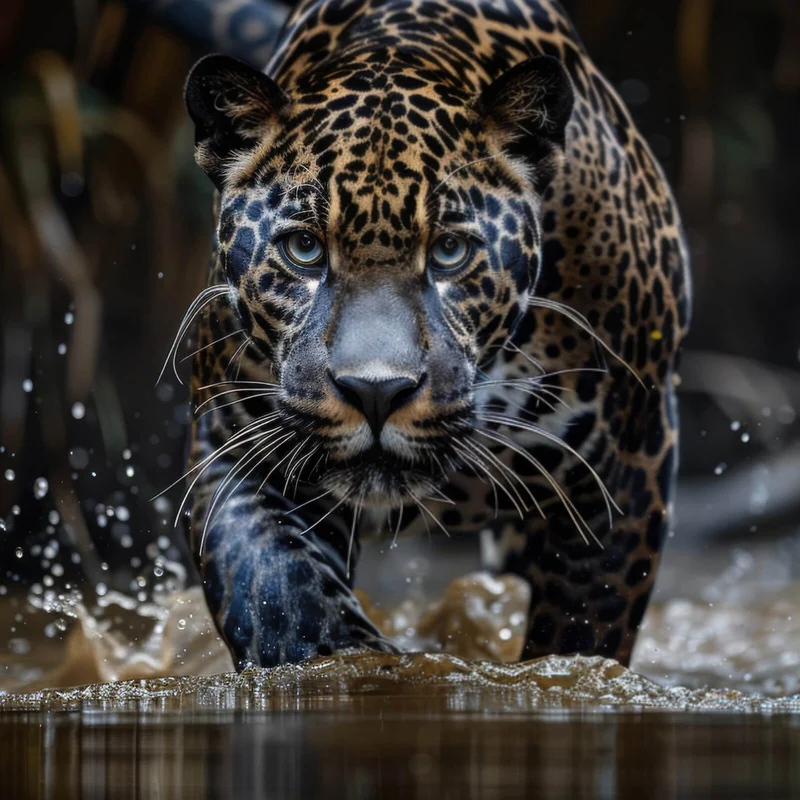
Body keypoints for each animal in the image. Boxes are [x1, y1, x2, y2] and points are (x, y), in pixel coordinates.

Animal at [172, 0, 691, 670]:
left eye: (449, 251)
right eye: (304, 248)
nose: (375, 392)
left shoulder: (624, 469)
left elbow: (582, 639)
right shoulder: (237, 446)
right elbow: (280, 595)